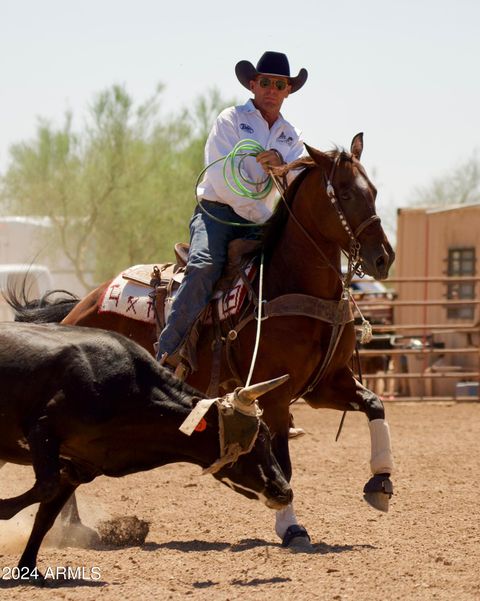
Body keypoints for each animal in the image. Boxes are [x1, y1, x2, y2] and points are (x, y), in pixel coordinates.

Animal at [9, 135, 396, 548]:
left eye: (373, 191)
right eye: (345, 192)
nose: (383, 258)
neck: (288, 283)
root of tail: (80, 308)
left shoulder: (326, 385)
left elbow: (375, 405)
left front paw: (380, 482)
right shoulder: (276, 396)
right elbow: (284, 463)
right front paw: (292, 528)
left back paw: (77, 527)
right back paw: (74, 529)